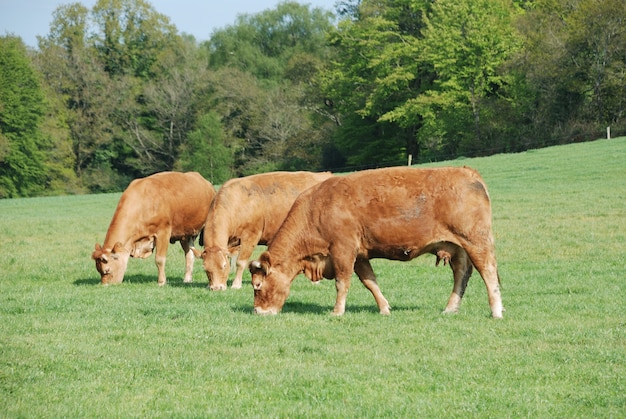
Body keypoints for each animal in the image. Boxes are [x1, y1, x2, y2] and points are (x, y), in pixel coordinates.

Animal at [199, 172, 332, 290]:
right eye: (205, 269)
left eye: (224, 265)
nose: (216, 288)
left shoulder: (250, 236)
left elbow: (240, 262)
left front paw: (236, 284)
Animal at [249, 167, 502, 318]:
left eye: (257, 285)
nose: (259, 311)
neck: (316, 209)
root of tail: (469, 173)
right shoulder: (360, 255)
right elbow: (370, 282)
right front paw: (384, 308)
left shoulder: (343, 251)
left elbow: (342, 283)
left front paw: (337, 311)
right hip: (458, 247)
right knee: (462, 274)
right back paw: (450, 308)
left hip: (475, 241)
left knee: (488, 272)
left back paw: (496, 310)